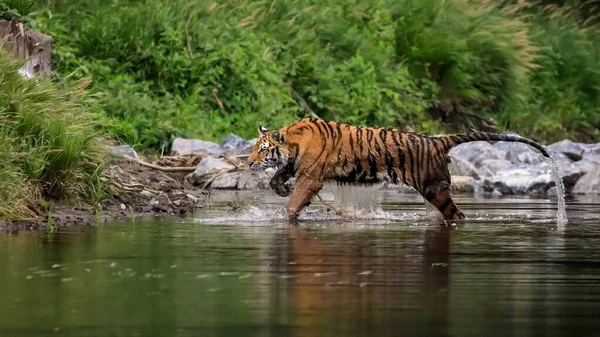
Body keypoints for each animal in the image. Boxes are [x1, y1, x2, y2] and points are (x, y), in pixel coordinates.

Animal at [246, 118, 552, 223]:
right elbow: (278, 177)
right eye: (254, 148)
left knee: (456, 214)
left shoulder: (311, 177)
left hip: (433, 187)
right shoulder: (295, 167)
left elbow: (295, 202)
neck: (293, 141)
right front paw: (280, 188)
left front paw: (283, 215)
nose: (248, 162)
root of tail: (437, 139)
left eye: (262, 149)